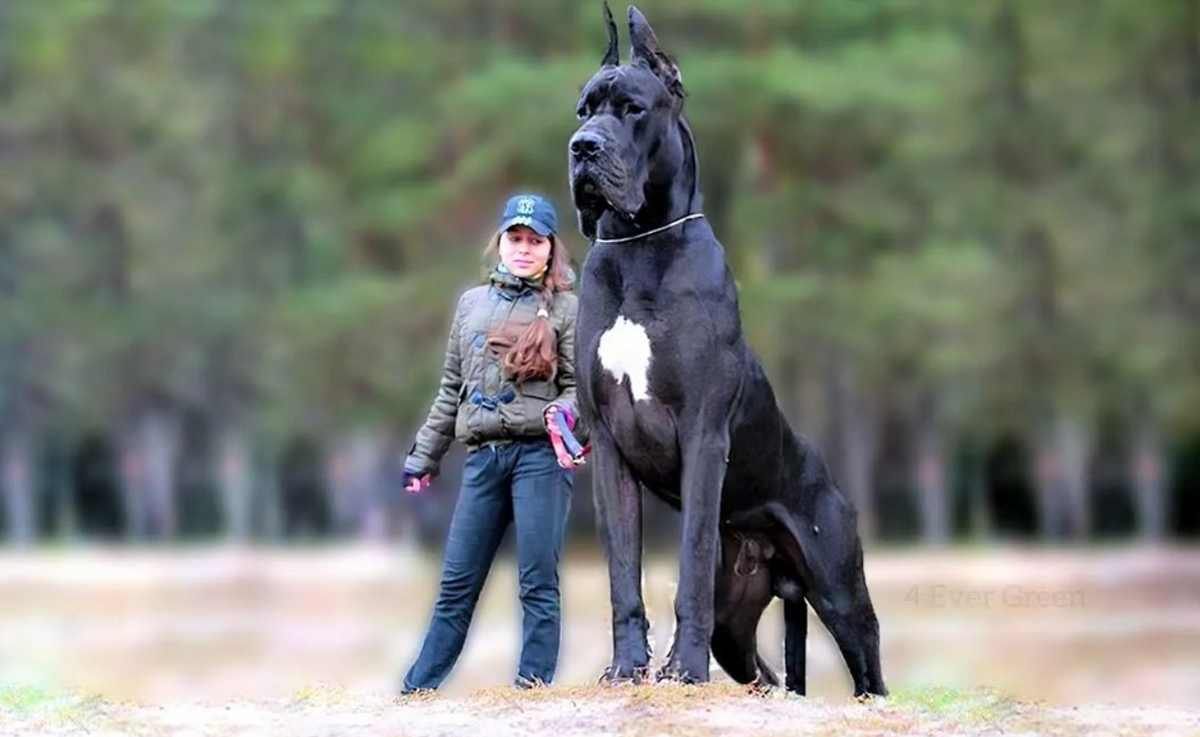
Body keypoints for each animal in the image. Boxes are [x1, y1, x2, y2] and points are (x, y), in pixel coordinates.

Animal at [566, 7, 888, 700]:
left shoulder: (703, 433)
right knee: (764, 672)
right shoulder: (608, 447)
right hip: (736, 622)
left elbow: (688, 566)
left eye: (633, 109)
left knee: (869, 668)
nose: (582, 148)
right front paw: (628, 669)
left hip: (840, 589)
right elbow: (622, 575)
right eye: (583, 111)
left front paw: (682, 671)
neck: (641, 245)